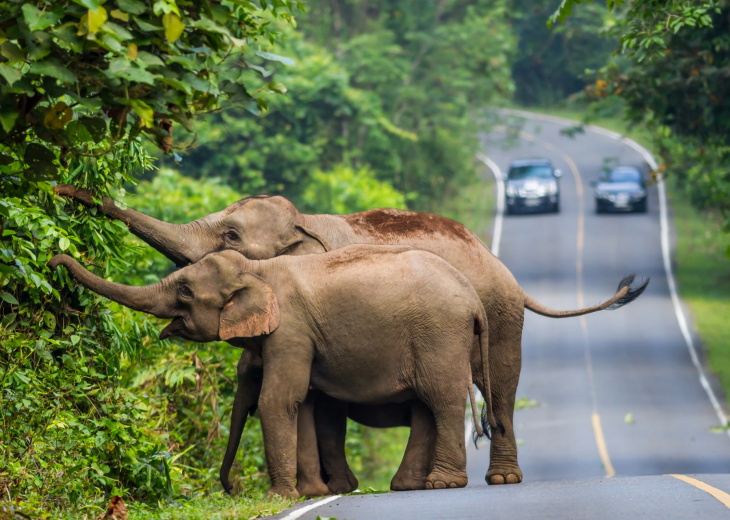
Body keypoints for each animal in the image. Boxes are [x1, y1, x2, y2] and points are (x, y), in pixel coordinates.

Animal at [48, 246, 498, 498]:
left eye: (185, 292)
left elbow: (280, 400)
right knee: (425, 404)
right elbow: (305, 403)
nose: (53, 259)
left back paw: (443, 485)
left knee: (441, 400)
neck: (257, 268)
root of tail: (474, 299)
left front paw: (276, 498)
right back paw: (409, 486)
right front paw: (308, 493)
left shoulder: (292, 330)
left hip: (439, 333)